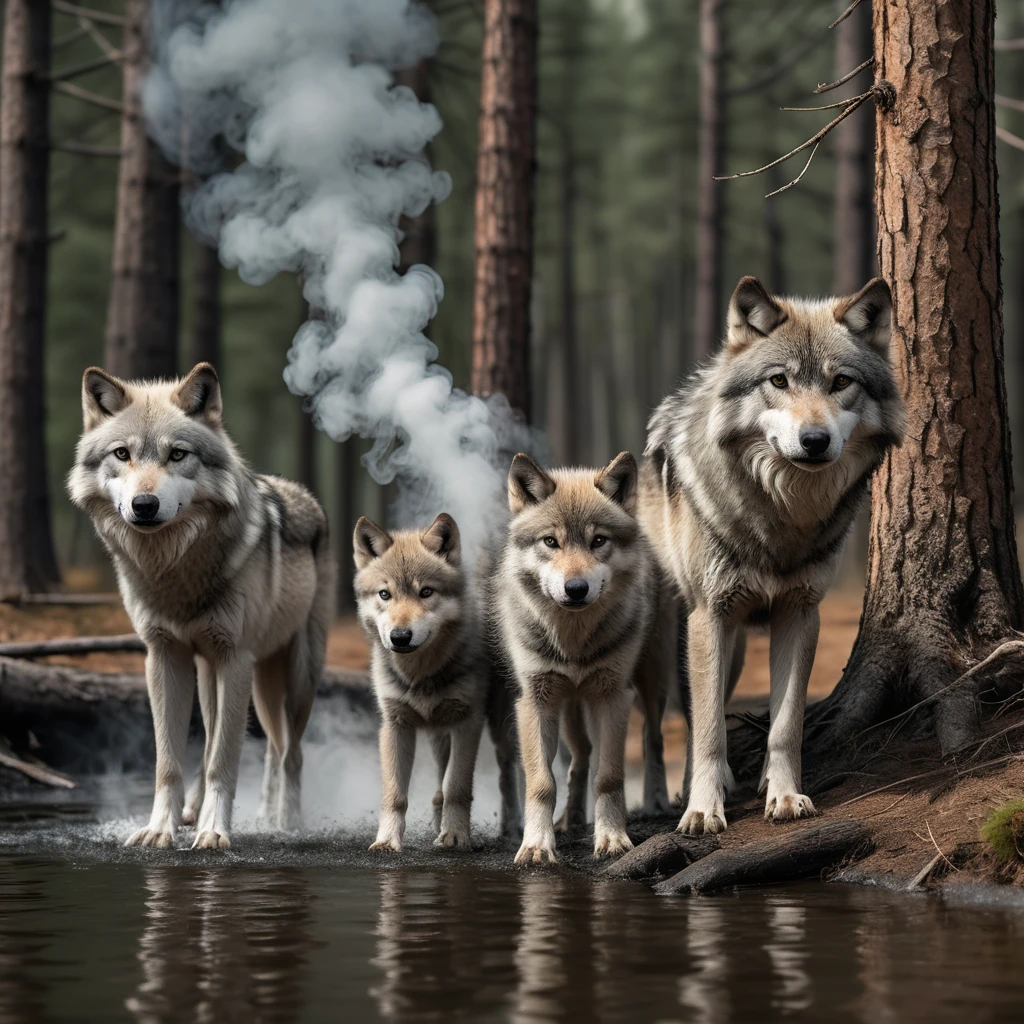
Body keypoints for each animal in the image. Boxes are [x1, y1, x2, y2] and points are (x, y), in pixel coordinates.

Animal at [68, 363, 333, 849]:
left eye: (177, 455)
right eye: (121, 454)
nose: (144, 505)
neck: (175, 571)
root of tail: (306, 495)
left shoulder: (235, 658)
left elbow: (222, 761)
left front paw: (213, 831)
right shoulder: (163, 657)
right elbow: (170, 761)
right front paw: (161, 829)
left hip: (296, 675)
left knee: (290, 751)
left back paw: (286, 821)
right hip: (220, 675)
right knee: (250, 744)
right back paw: (241, 813)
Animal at [354, 513, 521, 852]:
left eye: (426, 592)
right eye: (384, 594)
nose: (400, 637)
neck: (421, 674)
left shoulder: (467, 723)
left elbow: (457, 786)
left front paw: (456, 836)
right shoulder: (395, 726)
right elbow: (395, 794)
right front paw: (387, 841)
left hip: (501, 728)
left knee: (508, 774)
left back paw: (512, 829)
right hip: (438, 735)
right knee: (438, 785)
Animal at [496, 452, 660, 866]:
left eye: (598, 540)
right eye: (551, 542)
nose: (576, 589)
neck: (573, 644)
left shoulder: (613, 696)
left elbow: (609, 776)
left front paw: (612, 838)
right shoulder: (535, 701)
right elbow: (542, 782)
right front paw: (537, 845)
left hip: (653, 685)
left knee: (650, 738)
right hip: (568, 711)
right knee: (580, 759)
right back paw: (570, 818)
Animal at [640, 276, 905, 835]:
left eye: (841, 382)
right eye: (779, 381)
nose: (814, 440)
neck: (783, 515)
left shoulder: (801, 613)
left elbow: (786, 725)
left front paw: (784, 795)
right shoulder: (711, 616)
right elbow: (709, 728)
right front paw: (703, 809)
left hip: (737, 648)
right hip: (673, 646)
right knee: (675, 721)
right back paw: (676, 794)